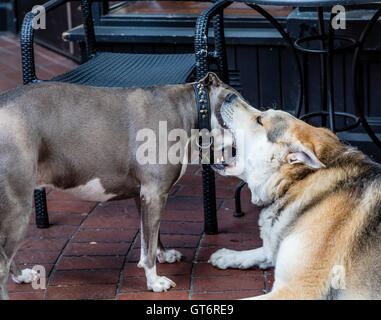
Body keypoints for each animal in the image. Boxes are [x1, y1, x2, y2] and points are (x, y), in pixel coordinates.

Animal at [0, 72, 238, 298]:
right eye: (236, 101)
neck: (191, 108)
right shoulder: (154, 194)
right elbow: (150, 244)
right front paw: (154, 282)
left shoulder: (144, 195)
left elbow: (151, 238)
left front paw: (163, 255)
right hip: (18, 208)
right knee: (2, 263)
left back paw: (22, 276)